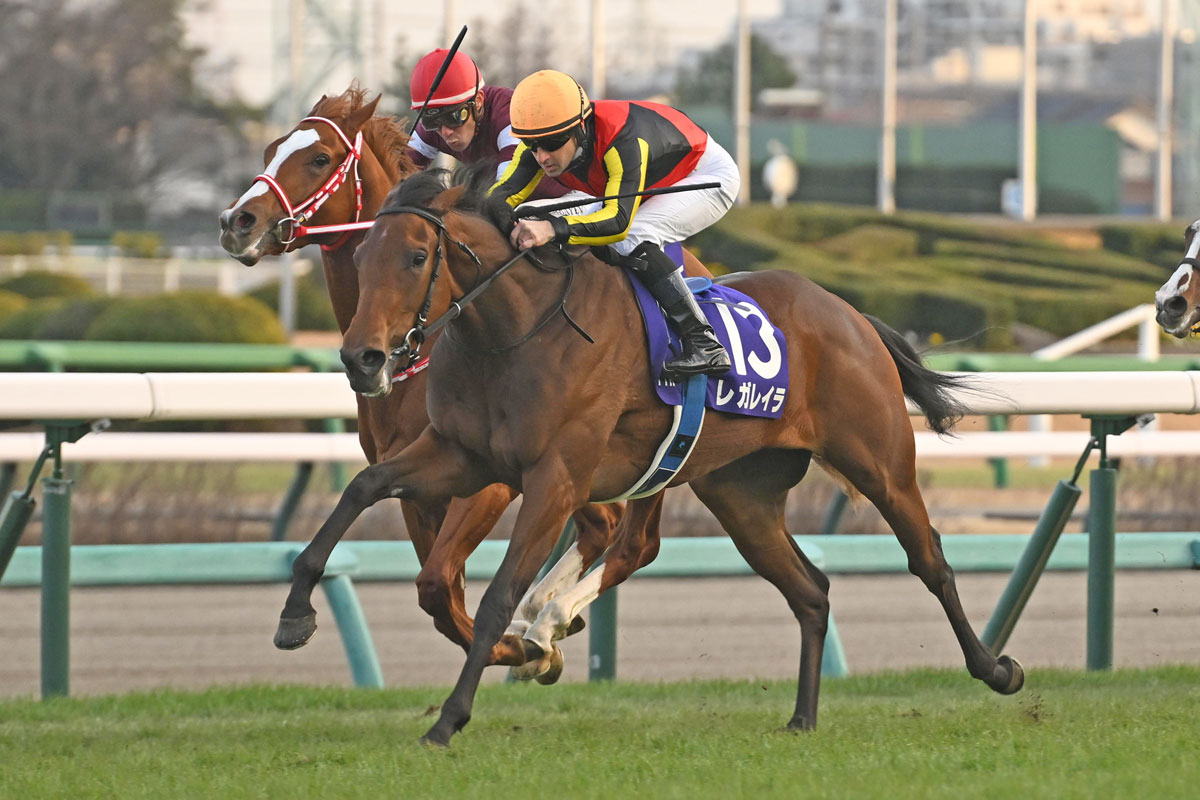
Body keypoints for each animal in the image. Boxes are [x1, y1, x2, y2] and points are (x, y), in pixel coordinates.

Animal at [279, 167, 1025, 747]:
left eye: (414, 257)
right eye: (361, 258)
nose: (361, 357)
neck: (516, 328)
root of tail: (849, 313)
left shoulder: (553, 480)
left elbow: (494, 598)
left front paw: (451, 717)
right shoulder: (460, 455)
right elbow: (363, 489)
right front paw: (295, 616)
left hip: (880, 463)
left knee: (929, 559)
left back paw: (996, 670)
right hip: (741, 497)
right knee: (810, 592)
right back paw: (802, 719)